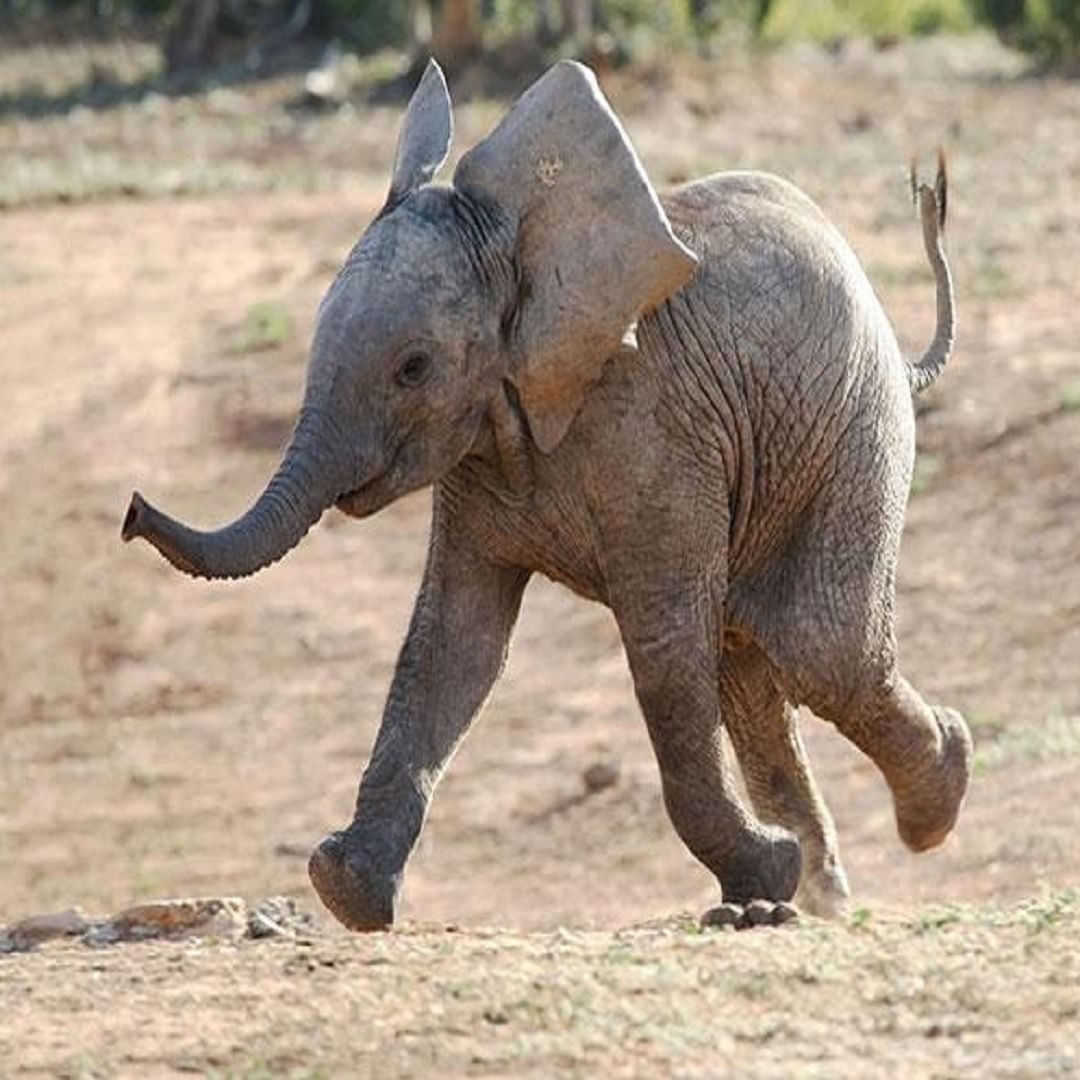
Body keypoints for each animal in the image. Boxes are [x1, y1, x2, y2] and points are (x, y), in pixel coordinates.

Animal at [122, 59, 976, 928]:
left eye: (413, 367)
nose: (130, 512)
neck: (520, 252)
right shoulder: (479, 451)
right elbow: (454, 643)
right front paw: (345, 888)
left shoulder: (653, 433)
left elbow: (665, 647)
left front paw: (762, 873)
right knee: (753, 659)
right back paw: (820, 891)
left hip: (854, 427)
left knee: (818, 648)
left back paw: (934, 794)